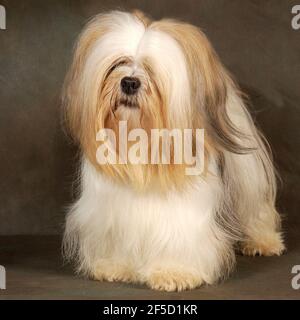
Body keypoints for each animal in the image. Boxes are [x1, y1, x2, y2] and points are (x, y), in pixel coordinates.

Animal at [62, 10, 284, 292]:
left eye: (151, 71)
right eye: (118, 64)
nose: (129, 82)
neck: (141, 146)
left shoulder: (184, 215)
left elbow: (179, 240)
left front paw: (174, 272)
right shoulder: (109, 211)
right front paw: (114, 266)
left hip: (247, 180)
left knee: (255, 210)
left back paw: (264, 242)